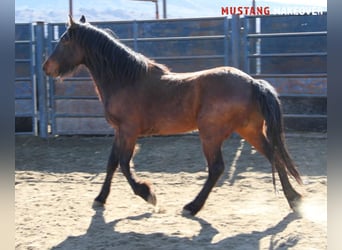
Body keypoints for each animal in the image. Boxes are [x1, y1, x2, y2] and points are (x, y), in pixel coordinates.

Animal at [42, 15, 302, 216]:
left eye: (64, 40)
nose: (46, 67)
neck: (126, 80)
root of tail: (252, 83)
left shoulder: (129, 131)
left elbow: (125, 164)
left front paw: (148, 194)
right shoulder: (119, 131)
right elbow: (112, 163)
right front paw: (100, 198)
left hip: (210, 135)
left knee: (216, 168)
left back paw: (192, 207)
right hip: (249, 131)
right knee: (274, 156)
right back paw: (295, 199)